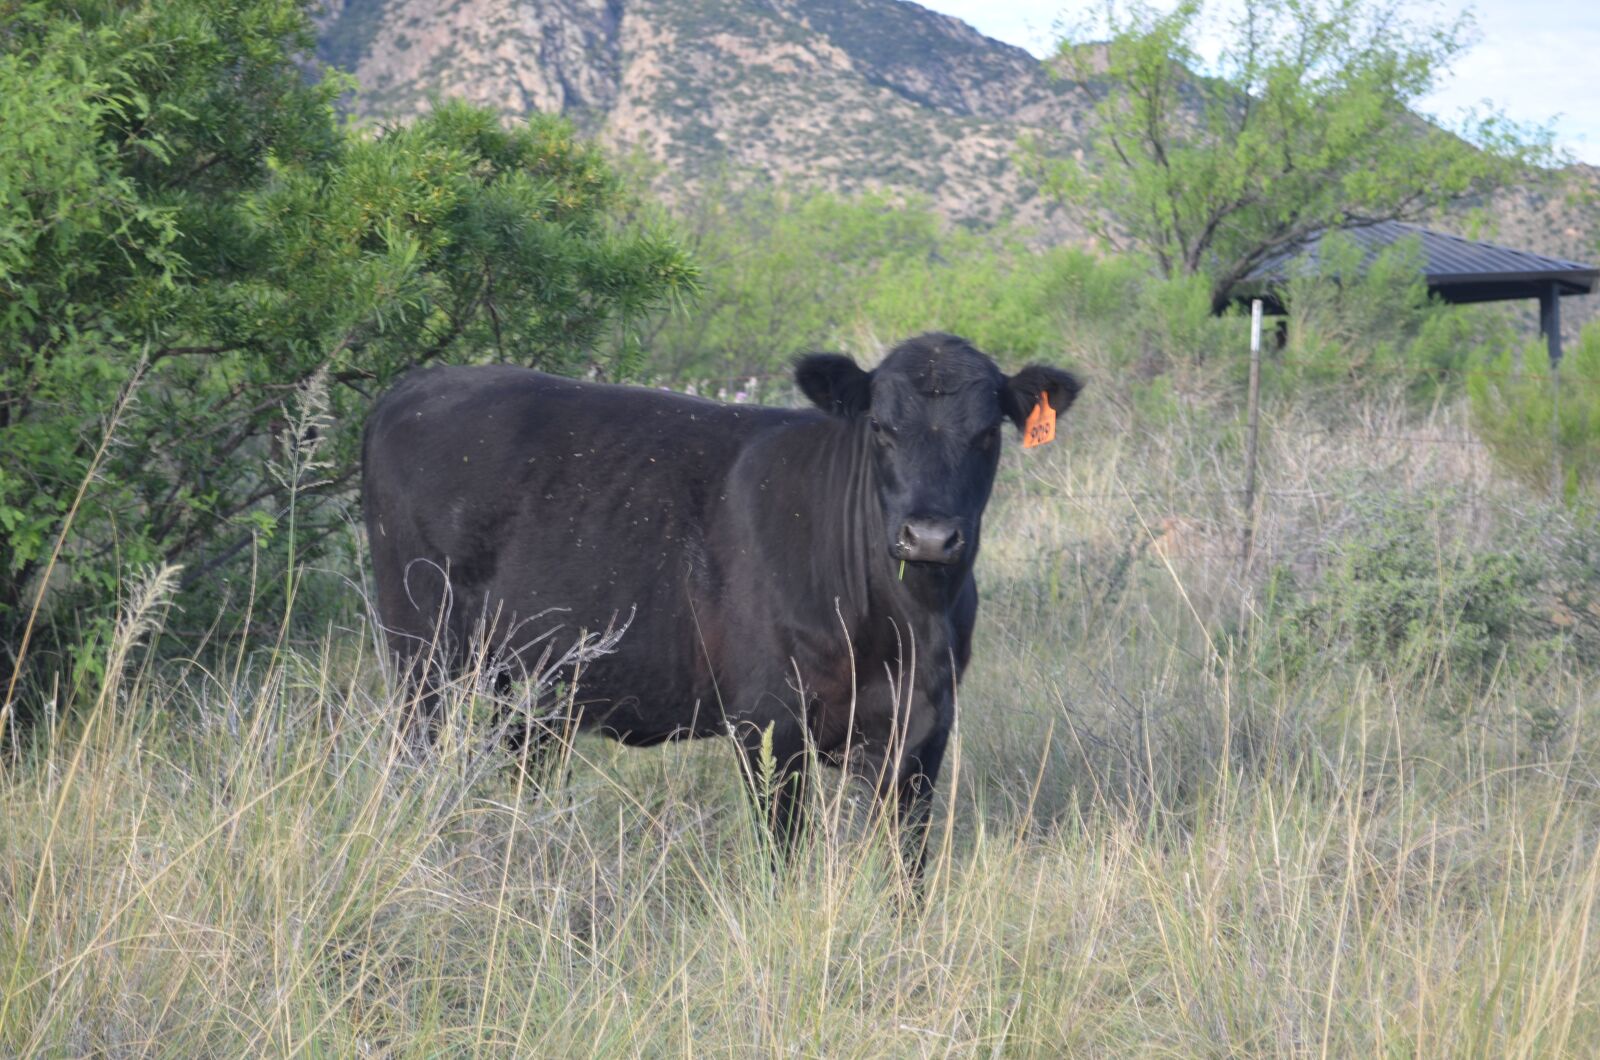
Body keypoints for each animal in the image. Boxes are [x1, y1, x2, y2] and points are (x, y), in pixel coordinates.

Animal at [361, 332, 1080, 879]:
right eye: (881, 428)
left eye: (986, 434)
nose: (928, 535)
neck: (906, 622)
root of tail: (416, 386)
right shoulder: (770, 723)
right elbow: (780, 857)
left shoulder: (924, 729)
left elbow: (908, 867)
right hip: (425, 657)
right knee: (415, 760)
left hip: (528, 686)